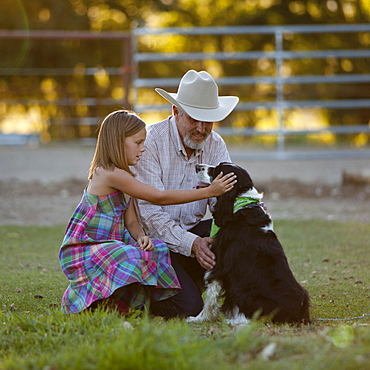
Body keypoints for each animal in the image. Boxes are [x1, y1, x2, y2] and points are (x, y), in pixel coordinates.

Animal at [186, 163, 310, 326]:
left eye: (217, 170)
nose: (197, 166)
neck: (240, 203)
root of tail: (298, 314)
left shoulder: (219, 264)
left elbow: (211, 295)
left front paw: (198, 318)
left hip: (247, 292)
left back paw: (233, 321)